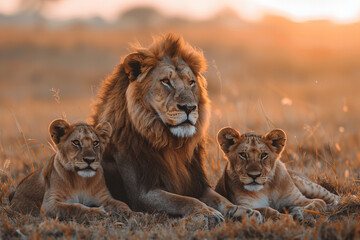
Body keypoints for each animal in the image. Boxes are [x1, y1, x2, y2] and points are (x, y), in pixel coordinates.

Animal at [91, 32, 262, 223]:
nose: (189, 107)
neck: (171, 145)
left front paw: (244, 211)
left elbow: (222, 200)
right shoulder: (142, 193)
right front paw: (208, 213)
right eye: (165, 81)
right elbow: (185, 200)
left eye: (191, 82)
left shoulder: (197, 184)